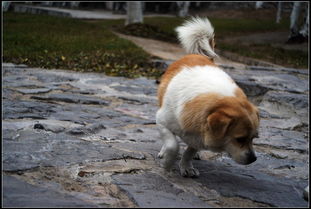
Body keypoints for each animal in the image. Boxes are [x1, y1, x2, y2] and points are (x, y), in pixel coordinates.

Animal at [156, 17, 260, 177]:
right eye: (240, 139)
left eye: (254, 138)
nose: (254, 158)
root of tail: (200, 55)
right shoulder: (161, 121)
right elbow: (172, 145)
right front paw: (167, 162)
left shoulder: (199, 136)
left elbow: (189, 152)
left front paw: (186, 166)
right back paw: (164, 152)